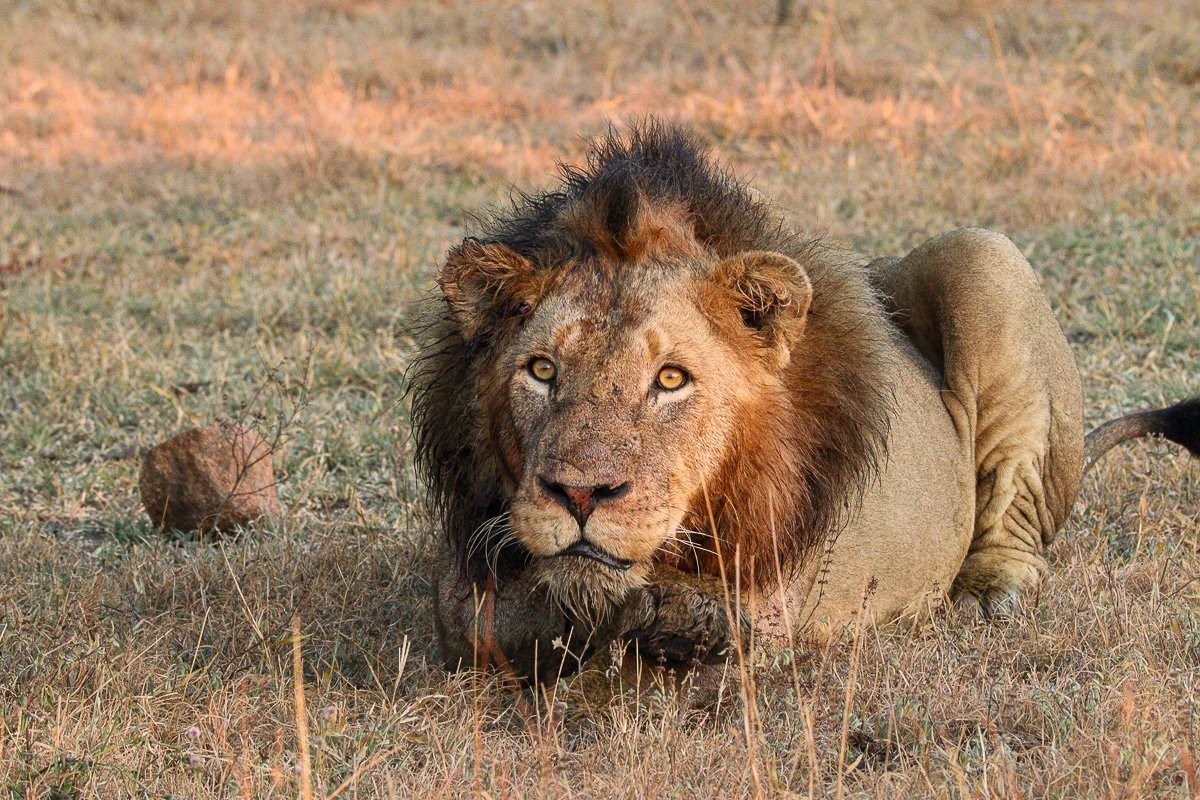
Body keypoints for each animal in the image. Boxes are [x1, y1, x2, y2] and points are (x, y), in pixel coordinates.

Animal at [409, 122, 1199, 682]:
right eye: (541, 370)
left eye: (671, 379)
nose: (580, 495)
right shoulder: (464, 581)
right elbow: (486, 616)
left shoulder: (799, 593)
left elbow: (732, 622)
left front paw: (674, 617)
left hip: (984, 257)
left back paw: (986, 593)